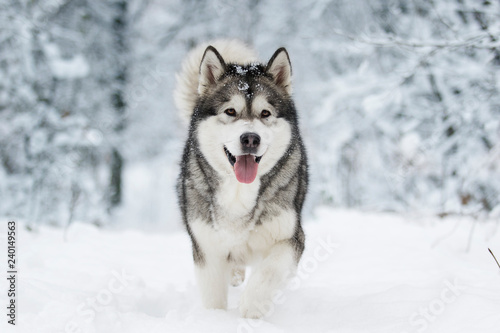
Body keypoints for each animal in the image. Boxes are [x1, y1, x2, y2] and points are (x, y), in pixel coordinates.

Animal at [176, 40, 308, 318]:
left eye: (265, 113)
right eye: (230, 111)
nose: (250, 138)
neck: (239, 192)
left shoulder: (291, 237)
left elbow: (269, 272)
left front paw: (251, 308)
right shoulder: (207, 248)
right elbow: (213, 295)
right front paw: (215, 320)